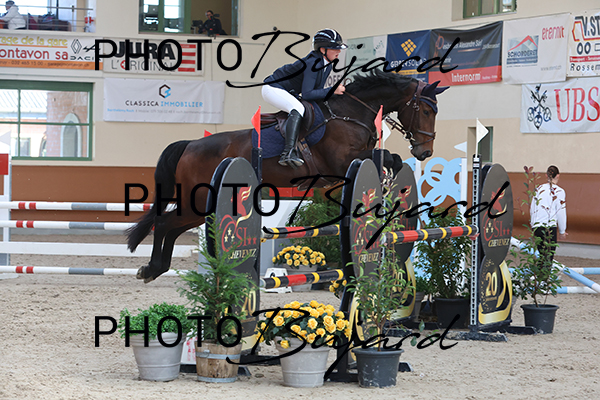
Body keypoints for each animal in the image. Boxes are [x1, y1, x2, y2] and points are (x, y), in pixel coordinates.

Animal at [127, 69, 448, 282]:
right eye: (425, 110)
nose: (424, 151)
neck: (350, 113)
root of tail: (190, 144)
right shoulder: (340, 163)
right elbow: (386, 158)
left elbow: (391, 159)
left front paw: (389, 185)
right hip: (198, 199)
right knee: (164, 223)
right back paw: (151, 269)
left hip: (199, 206)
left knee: (170, 226)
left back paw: (155, 268)